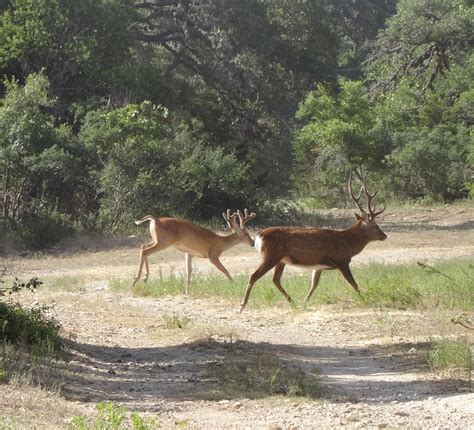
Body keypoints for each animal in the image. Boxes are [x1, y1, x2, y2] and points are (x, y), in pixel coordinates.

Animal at [239, 172, 386, 312]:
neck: (348, 243)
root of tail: (258, 236)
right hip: (270, 256)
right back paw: (242, 306)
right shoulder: (341, 260)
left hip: (280, 260)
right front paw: (364, 299)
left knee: (275, 280)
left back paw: (293, 303)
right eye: (376, 226)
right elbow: (353, 283)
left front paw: (304, 302)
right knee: (253, 276)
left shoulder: (319, 265)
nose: (384, 235)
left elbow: (314, 284)